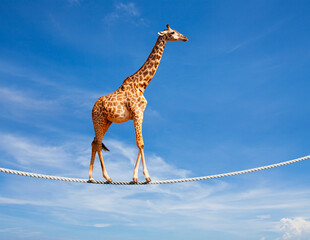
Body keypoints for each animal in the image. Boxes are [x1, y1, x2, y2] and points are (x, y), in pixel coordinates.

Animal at [88, 24, 188, 183]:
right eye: (172, 32)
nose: (185, 38)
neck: (141, 84)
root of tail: (92, 108)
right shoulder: (136, 112)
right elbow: (140, 143)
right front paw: (146, 176)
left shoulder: (140, 113)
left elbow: (140, 143)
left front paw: (135, 177)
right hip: (98, 119)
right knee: (97, 143)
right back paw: (106, 176)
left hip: (107, 121)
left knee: (94, 142)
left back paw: (91, 176)